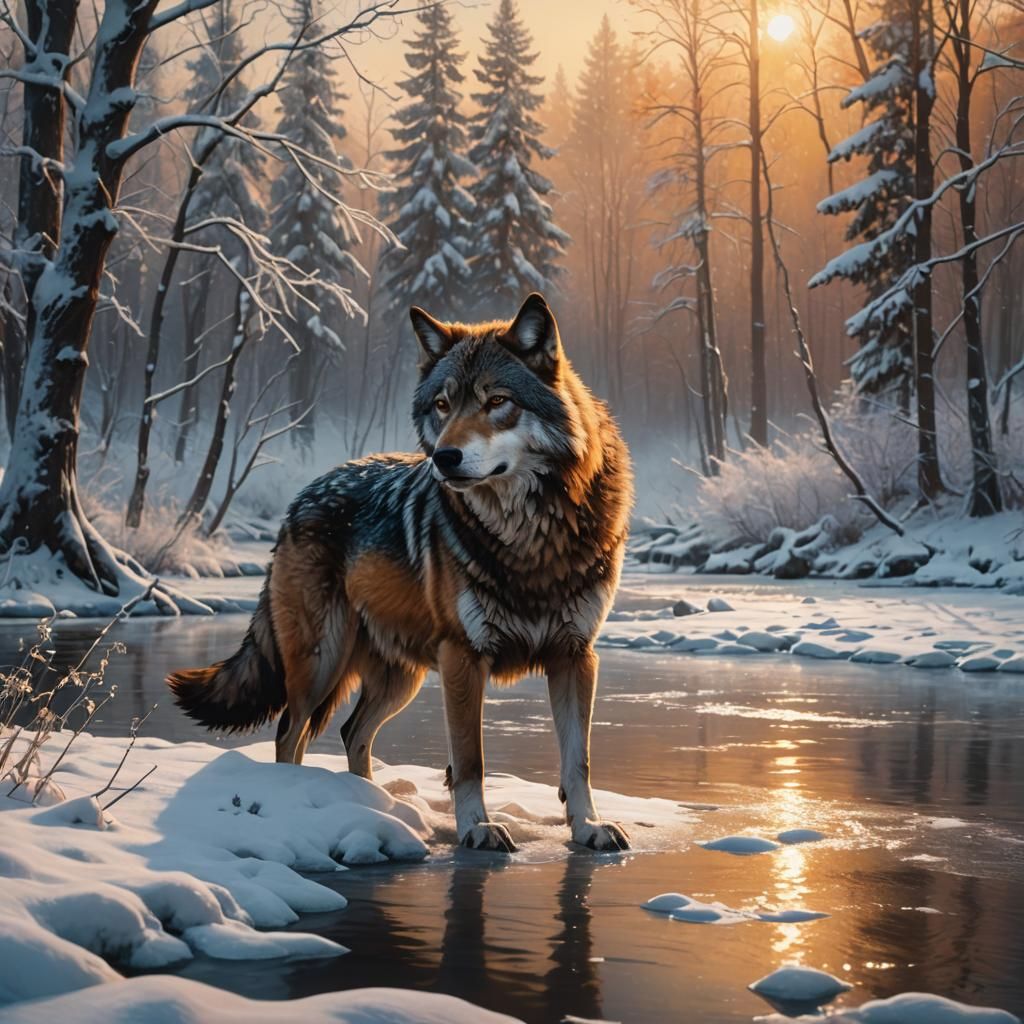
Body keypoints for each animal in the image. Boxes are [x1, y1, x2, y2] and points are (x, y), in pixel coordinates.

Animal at [168, 293, 634, 853]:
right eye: (443, 405)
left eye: (497, 401)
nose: (444, 458)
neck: (529, 536)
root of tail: (298, 501)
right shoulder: (464, 657)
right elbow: (470, 761)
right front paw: (478, 828)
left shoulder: (575, 655)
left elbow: (577, 760)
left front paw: (588, 827)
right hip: (322, 663)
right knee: (288, 734)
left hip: (398, 680)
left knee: (352, 733)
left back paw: (370, 805)